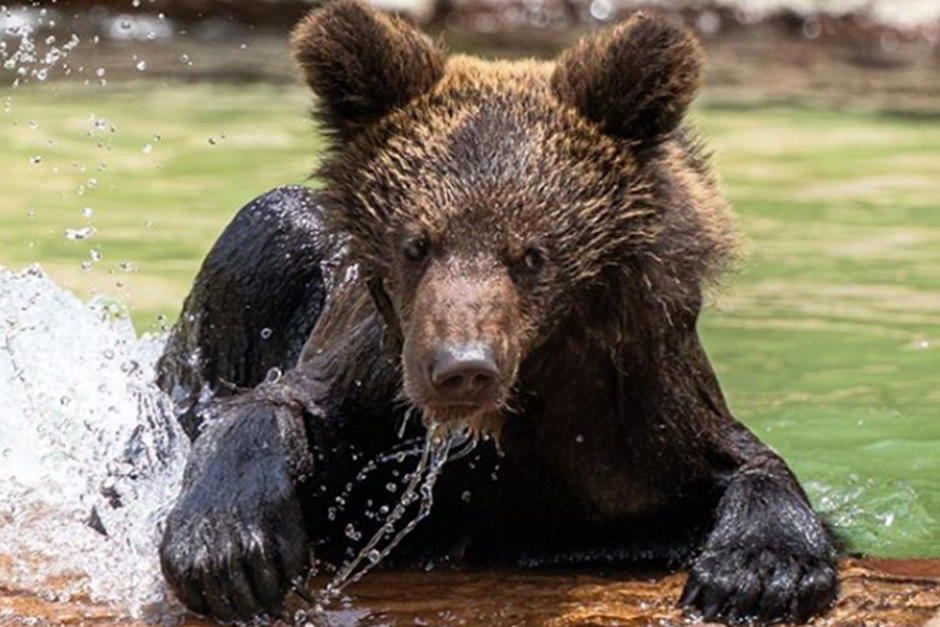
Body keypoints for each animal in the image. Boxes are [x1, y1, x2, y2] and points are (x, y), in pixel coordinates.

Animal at [156, 2, 838, 624]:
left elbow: (746, 466)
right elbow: (274, 410)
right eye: (416, 242)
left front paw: (757, 573)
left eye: (533, 253)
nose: (462, 367)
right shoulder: (367, 402)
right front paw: (229, 549)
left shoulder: (638, 424)